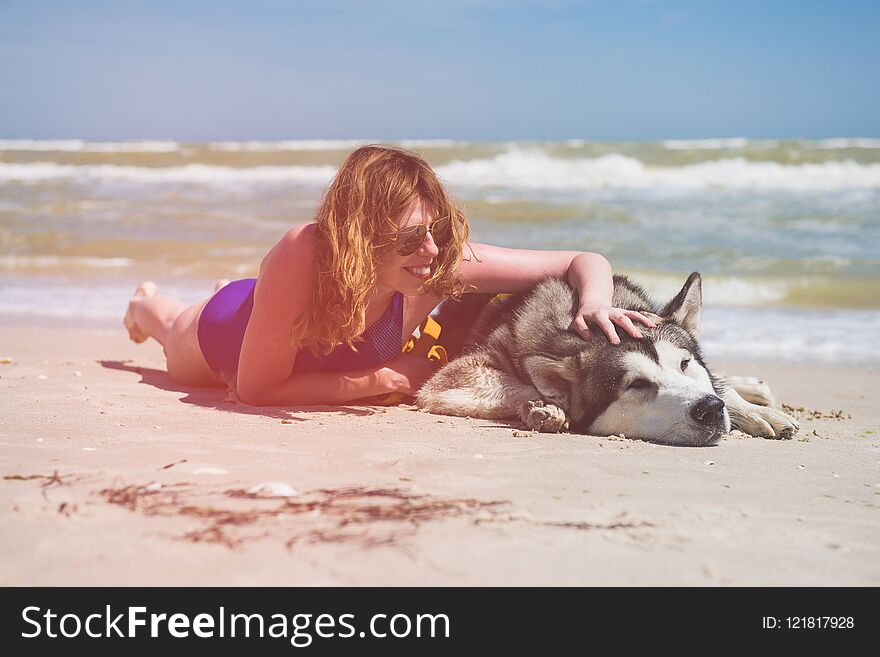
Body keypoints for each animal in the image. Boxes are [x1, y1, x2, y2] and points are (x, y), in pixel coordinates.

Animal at [416, 272, 800, 446]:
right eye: (637, 385)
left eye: (685, 364)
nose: (709, 409)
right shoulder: (454, 377)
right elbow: (524, 385)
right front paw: (547, 409)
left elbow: (718, 385)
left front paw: (753, 411)